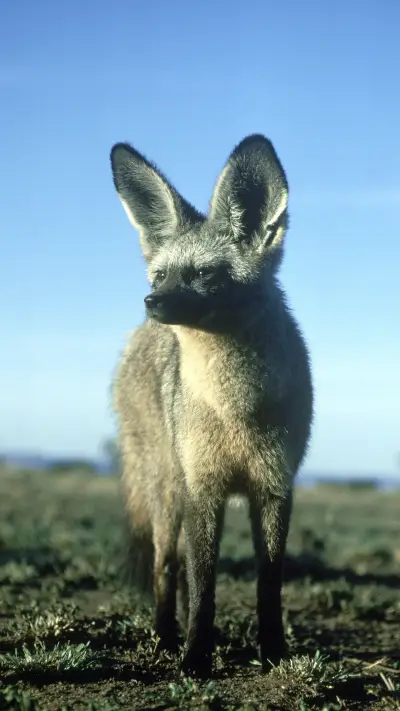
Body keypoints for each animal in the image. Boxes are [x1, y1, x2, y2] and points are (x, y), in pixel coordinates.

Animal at [110, 133, 313, 678]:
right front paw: (195, 658)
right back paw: (165, 638)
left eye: (203, 275)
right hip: (168, 493)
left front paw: (273, 653)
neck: (236, 410)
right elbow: (203, 587)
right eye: (160, 276)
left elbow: (268, 586)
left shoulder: (274, 487)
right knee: (167, 567)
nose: (151, 301)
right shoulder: (204, 488)